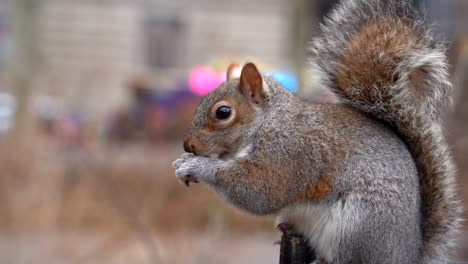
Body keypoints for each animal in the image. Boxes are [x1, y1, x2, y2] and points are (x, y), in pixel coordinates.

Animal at [171, 0, 460, 262]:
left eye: (223, 113)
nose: (189, 146)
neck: (269, 122)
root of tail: (409, 253)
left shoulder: (288, 152)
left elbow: (259, 191)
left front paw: (194, 166)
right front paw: (184, 161)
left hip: (356, 228)